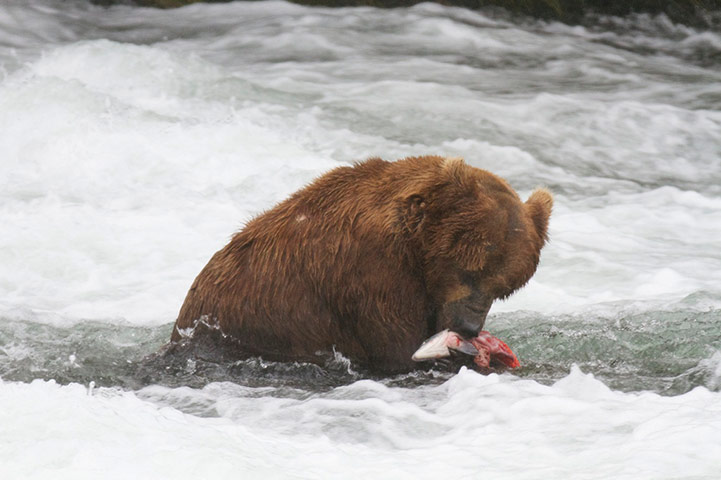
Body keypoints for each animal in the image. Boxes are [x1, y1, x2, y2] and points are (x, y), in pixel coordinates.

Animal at [171, 155, 552, 373]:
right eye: (470, 270)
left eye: (504, 288)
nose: (469, 326)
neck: (416, 249)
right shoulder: (370, 274)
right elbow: (397, 353)